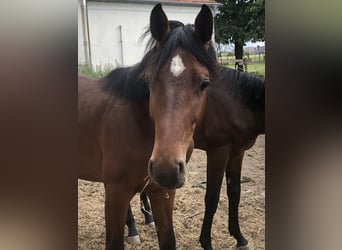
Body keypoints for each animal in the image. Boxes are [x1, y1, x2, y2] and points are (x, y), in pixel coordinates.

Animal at [78, 3, 216, 250]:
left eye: (204, 82)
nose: (165, 168)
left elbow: (168, 239)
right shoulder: (115, 192)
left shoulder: (162, 192)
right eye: (149, 80)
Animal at [125, 67, 264, 250]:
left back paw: (148, 218)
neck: (236, 103)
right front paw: (206, 242)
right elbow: (212, 198)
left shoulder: (237, 153)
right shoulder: (218, 153)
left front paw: (240, 238)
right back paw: (132, 229)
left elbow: (235, 194)